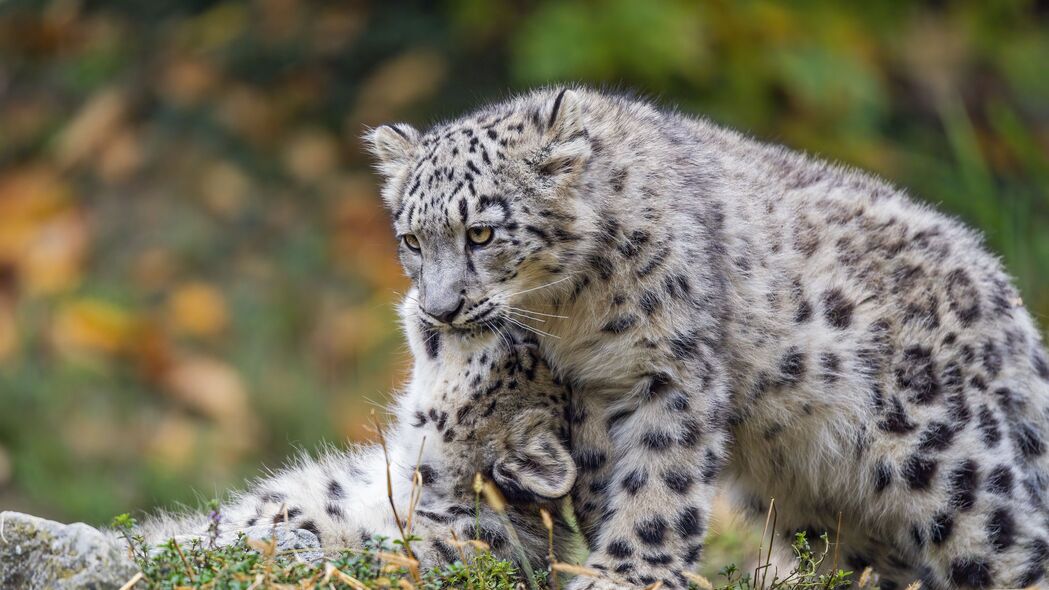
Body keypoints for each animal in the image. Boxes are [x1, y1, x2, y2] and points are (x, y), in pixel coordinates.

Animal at [362, 83, 1049, 587]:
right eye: (412, 239)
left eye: (480, 232)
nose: (440, 309)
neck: (568, 317)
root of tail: (1000, 287)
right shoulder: (588, 397)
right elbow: (604, 481)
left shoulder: (672, 367)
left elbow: (661, 477)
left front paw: (628, 572)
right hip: (829, 510)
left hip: (949, 460)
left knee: (1007, 541)